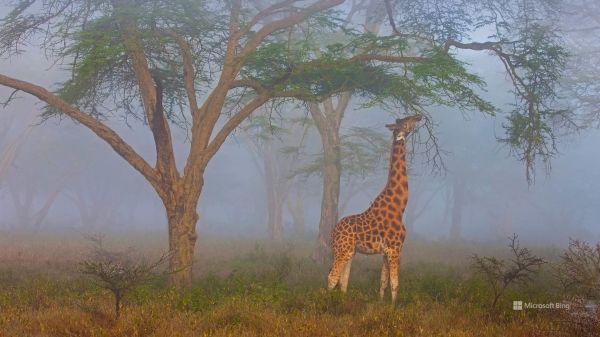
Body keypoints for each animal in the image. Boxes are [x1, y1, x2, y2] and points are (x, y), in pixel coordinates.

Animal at [328, 114, 422, 304]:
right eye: (408, 120)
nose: (420, 115)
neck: (400, 207)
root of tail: (333, 231)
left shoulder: (386, 252)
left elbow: (383, 282)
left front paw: (380, 304)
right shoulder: (395, 248)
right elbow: (395, 283)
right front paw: (393, 308)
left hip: (350, 252)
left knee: (343, 280)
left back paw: (343, 302)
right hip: (342, 250)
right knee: (332, 277)